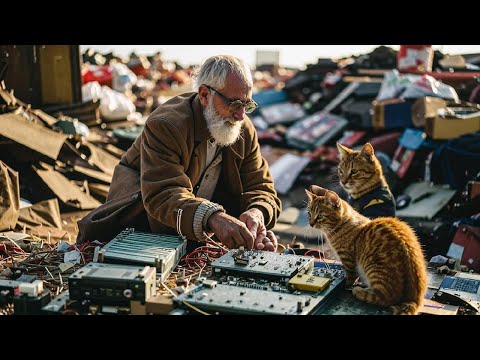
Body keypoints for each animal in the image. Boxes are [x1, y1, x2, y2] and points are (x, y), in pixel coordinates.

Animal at [306, 186, 426, 316]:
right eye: (309, 213)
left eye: (319, 216)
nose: (311, 224)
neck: (341, 225)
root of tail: (415, 298)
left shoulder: (348, 260)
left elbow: (350, 278)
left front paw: (348, 285)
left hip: (373, 268)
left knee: (384, 298)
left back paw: (359, 291)